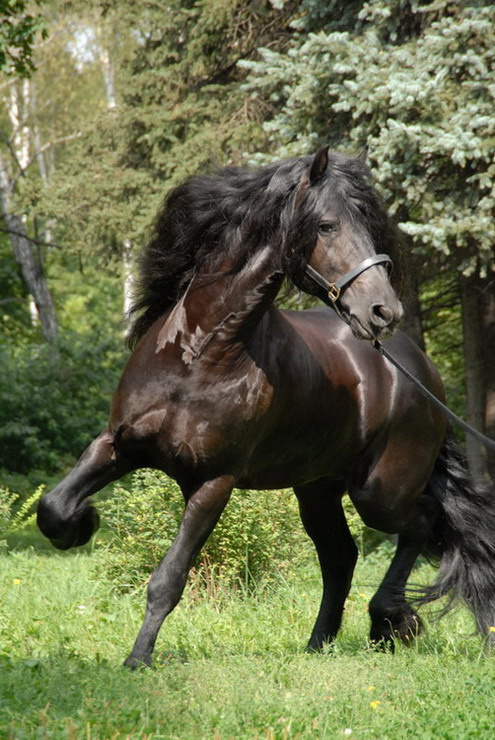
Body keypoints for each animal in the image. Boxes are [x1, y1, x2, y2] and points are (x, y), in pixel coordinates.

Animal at [37, 148, 495, 668]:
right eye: (326, 225)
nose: (383, 311)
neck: (199, 354)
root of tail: (419, 369)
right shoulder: (118, 444)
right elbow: (53, 508)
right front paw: (82, 525)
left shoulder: (213, 482)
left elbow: (168, 578)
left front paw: (138, 661)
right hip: (318, 489)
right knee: (341, 557)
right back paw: (320, 643)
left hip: (380, 492)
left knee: (418, 522)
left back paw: (389, 621)